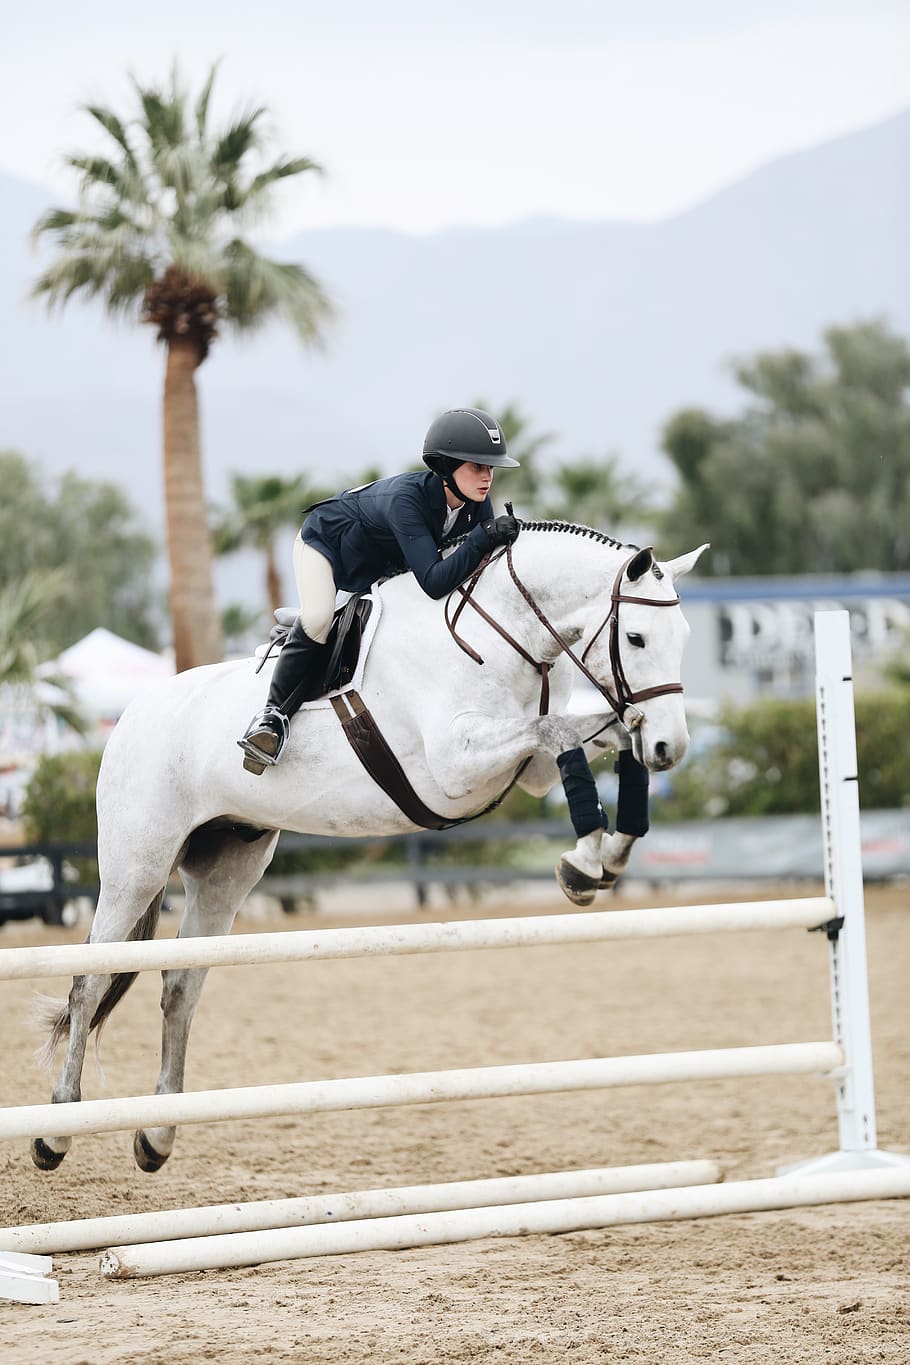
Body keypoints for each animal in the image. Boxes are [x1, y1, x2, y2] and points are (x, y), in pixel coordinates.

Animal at [32, 524, 707, 1172]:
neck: (500, 635)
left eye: (684, 637)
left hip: (227, 868)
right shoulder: (456, 769)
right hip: (137, 866)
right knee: (88, 983)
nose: (672, 748)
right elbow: (563, 728)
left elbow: (597, 733)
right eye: (637, 639)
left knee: (180, 985)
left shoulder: (529, 771)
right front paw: (586, 859)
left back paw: (156, 1135)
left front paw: (603, 856)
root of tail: (134, 714)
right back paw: (56, 1132)